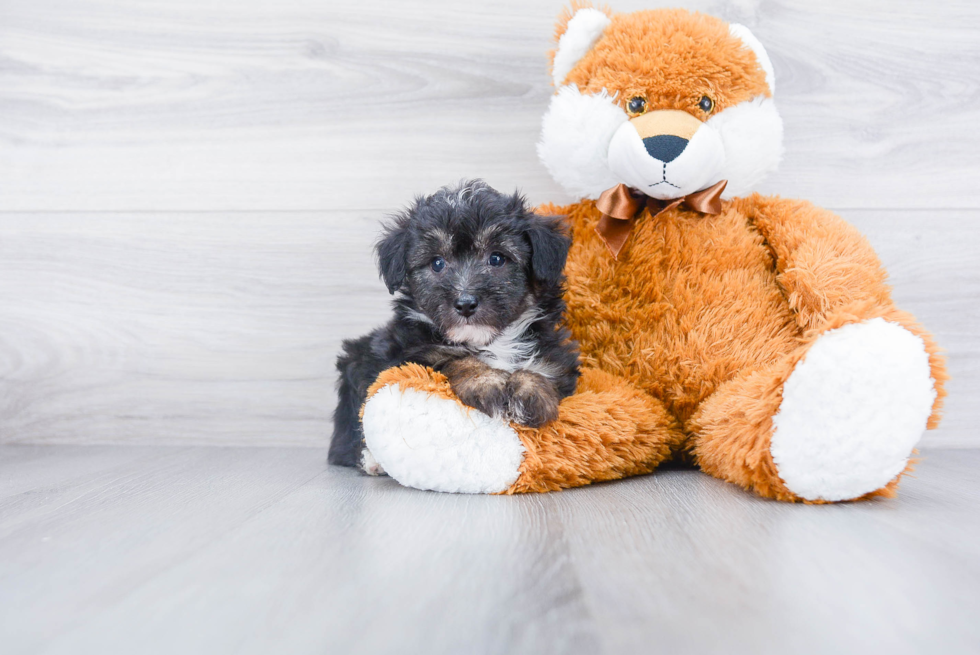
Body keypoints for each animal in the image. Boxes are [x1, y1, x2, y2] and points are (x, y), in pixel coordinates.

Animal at [330, 181, 580, 476]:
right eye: (437, 263)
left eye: (497, 259)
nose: (465, 303)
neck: (490, 342)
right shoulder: (409, 355)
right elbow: (456, 359)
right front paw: (486, 382)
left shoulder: (555, 352)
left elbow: (544, 366)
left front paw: (531, 393)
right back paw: (372, 459)